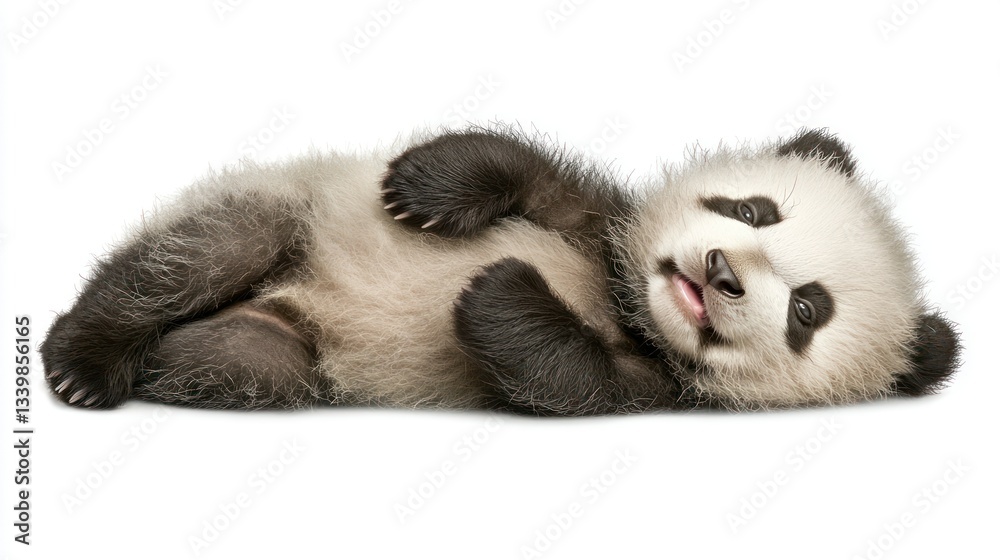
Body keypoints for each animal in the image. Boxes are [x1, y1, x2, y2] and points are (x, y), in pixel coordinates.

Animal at [40, 126, 960, 415]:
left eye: (808, 310)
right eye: (755, 211)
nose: (719, 272)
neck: (625, 300)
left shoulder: (655, 388)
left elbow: (561, 372)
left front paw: (499, 291)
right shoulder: (599, 222)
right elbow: (526, 173)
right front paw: (425, 186)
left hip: (273, 355)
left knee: (237, 360)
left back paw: (139, 364)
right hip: (288, 211)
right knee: (203, 250)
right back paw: (85, 359)